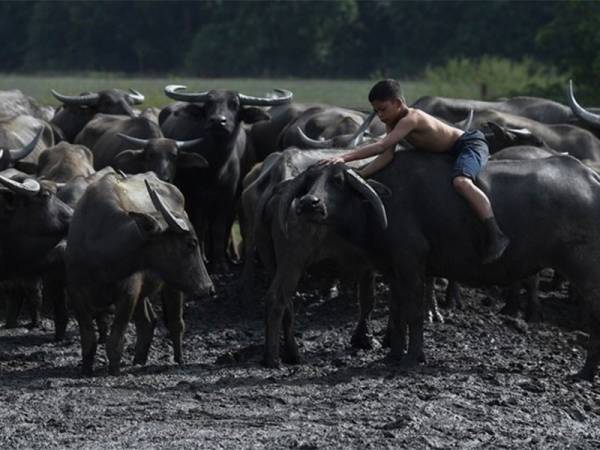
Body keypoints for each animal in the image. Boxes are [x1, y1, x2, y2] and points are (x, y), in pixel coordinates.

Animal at [65, 172, 214, 376]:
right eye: (191, 244)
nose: (209, 288)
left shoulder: (129, 292)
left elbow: (115, 340)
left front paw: (114, 370)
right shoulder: (75, 292)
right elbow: (89, 339)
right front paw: (86, 370)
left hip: (171, 285)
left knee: (176, 323)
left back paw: (178, 359)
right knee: (147, 322)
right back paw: (139, 360)